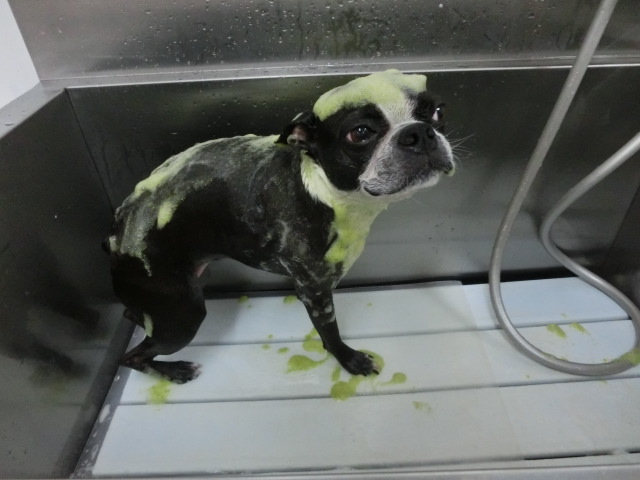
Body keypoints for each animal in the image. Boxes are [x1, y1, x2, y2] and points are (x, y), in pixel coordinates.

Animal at [106, 70, 454, 383]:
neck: (323, 190)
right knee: (133, 357)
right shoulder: (316, 292)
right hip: (182, 314)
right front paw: (349, 359)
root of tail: (117, 236)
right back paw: (175, 371)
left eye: (438, 111)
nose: (419, 132)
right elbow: (330, 334)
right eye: (360, 133)